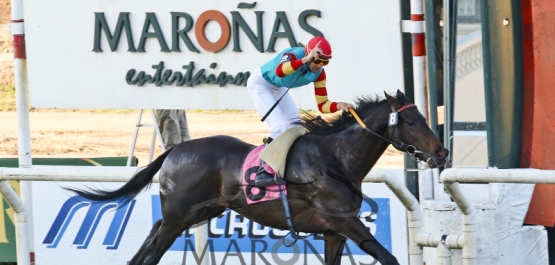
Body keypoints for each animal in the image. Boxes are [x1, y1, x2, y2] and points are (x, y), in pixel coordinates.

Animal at [67, 89, 450, 262]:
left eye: (423, 117)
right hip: (179, 216)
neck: (335, 160)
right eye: (411, 121)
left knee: (150, 240)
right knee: (154, 250)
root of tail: (175, 150)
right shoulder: (344, 222)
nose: (441, 153)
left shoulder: (334, 232)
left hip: (198, 211)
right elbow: (389, 257)